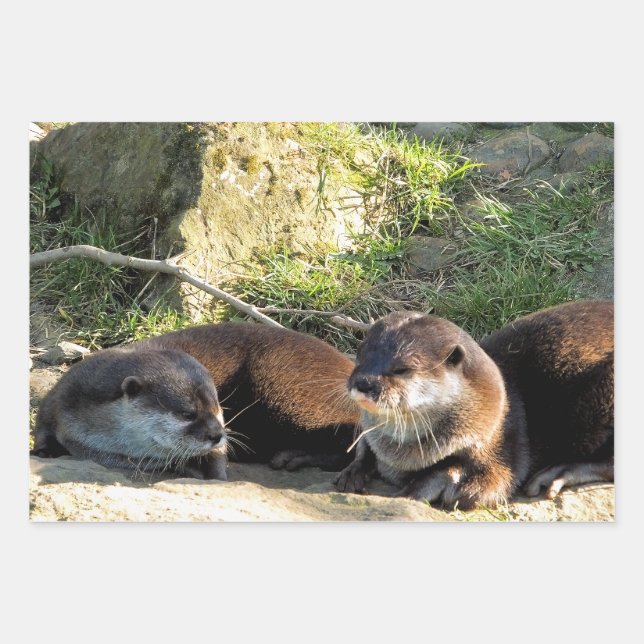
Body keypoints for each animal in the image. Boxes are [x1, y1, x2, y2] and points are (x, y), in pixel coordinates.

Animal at [31, 348, 228, 479]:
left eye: (217, 408)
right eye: (188, 414)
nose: (216, 435)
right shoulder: (60, 396)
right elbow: (43, 424)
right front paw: (44, 452)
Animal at [334, 300, 614, 510]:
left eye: (402, 369)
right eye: (360, 355)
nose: (363, 382)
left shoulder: (501, 445)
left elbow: (487, 487)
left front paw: (420, 488)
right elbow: (363, 447)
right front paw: (353, 470)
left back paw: (560, 472)